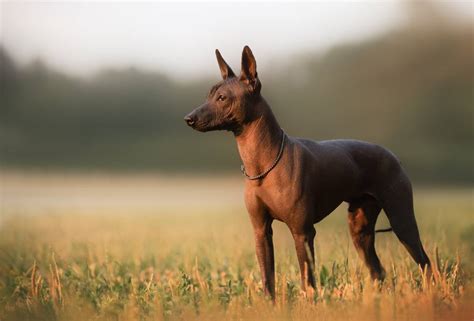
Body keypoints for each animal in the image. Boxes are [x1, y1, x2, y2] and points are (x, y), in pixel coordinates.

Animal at [183, 45, 432, 298]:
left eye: (222, 98)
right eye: (208, 96)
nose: (188, 119)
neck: (264, 163)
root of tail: (392, 155)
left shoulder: (302, 232)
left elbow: (307, 280)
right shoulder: (261, 231)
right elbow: (267, 278)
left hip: (402, 221)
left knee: (425, 262)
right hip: (359, 229)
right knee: (377, 270)